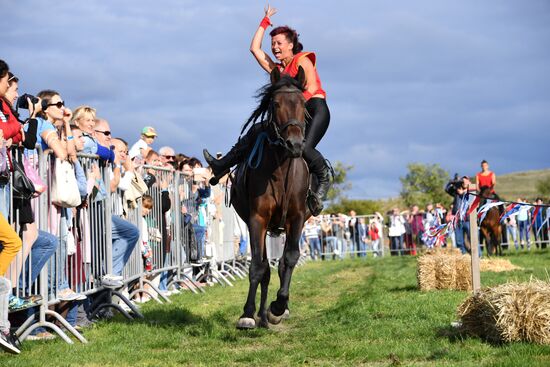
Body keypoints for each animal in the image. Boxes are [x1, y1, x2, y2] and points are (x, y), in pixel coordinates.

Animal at [231, 66, 312, 330]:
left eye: (303, 103)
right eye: (275, 104)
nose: (294, 144)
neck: (279, 169)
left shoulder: (297, 218)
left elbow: (290, 259)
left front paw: (279, 306)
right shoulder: (257, 219)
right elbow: (258, 267)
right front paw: (247, 314)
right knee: (265, 268)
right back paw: (261, 314)